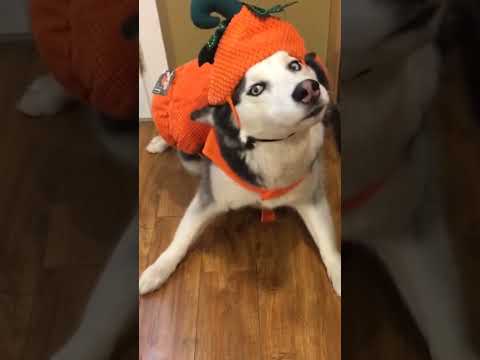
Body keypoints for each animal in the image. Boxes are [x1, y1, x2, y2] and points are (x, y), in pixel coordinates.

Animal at [139, 50, 342, 298]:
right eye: (256, 89)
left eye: (295, 66)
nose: (308, 89)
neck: (275, 147)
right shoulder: (209, 197)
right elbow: (182, 238)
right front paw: (158, 269)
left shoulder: (311, 198)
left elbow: (327, 243)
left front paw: (339, 272)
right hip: (186, 147)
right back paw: (160, 142)